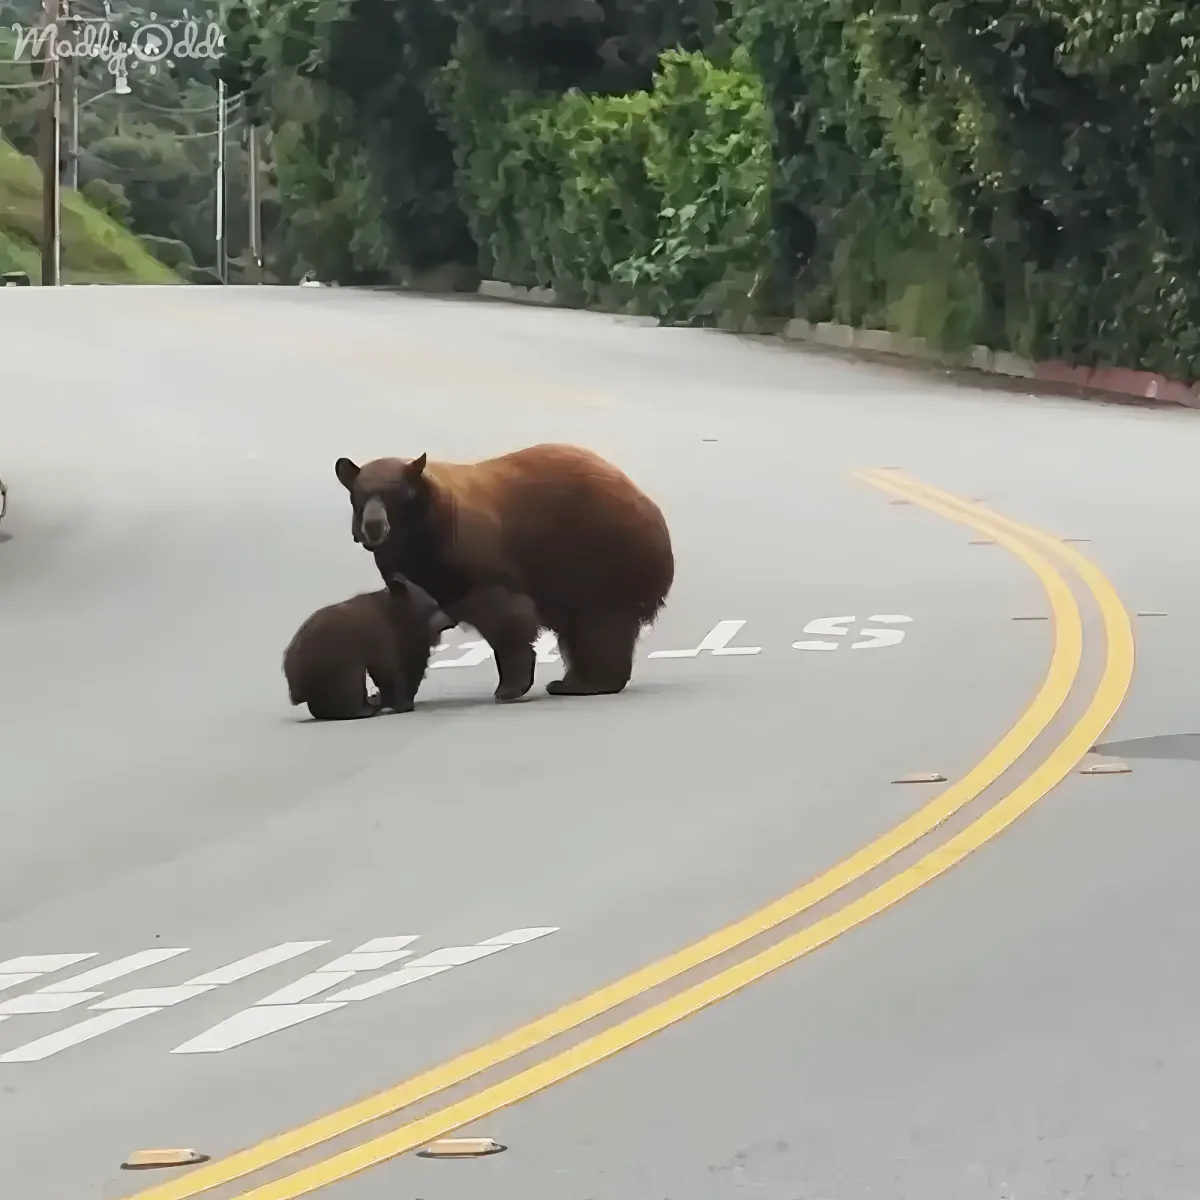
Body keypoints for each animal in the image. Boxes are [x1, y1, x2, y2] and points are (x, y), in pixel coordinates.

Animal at [283, 572, 457, 721]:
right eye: (434, 604)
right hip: (334, 659)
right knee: (350, 683)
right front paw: (399, 704)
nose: (450, 620)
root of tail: (297, 688)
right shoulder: (382, 636)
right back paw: (367, 708)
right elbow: (389, 669)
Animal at [333, 443, 675, 701]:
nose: (374, 526)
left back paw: (584, 683)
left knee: (598, 624)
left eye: (399, 495)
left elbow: (504, 615)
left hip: (600, 560)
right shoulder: (410, 572)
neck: (423, 536)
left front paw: (509, 686)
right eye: (359, 497)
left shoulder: (477, 556)